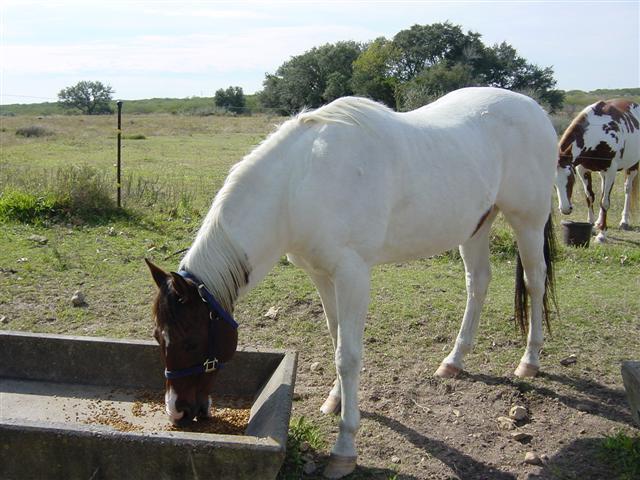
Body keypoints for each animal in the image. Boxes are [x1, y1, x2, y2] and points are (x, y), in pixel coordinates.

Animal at [146, 87, 558, 479]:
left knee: (535, 282)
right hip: (476, 226)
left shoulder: (352, 274)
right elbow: (336, 339)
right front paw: (336, 400)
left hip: (528, 221)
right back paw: (453, 362)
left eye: (190, 339)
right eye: (157, 337)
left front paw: (344, 449)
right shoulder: (321, 274)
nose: (176, 411)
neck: (297, 187)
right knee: (478, 283)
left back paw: (529, 361)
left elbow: (348, 355)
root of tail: (534, 110)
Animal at [555, 99, 639, 242]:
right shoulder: (582, 169)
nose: (565, 209)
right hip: (602, 172)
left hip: (632, 167)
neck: (597, 132)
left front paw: (602, 234)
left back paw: (624, 221)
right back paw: (599, 222)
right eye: (554, 184)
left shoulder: (611, 170)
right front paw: (592, 225)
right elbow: (590, 197)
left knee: (627, 189)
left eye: (571, 179)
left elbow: (604, 202)